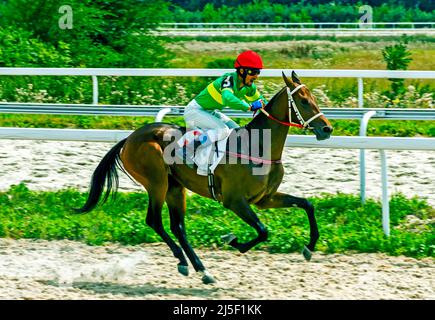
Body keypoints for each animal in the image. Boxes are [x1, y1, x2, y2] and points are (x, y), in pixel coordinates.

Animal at [77, 70, 334, 284]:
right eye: (303, 101)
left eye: (314, 98)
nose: (327, 129)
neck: (258, 146)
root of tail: (129, 138)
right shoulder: (234, 200)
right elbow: (263, 230)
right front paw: (233, 240)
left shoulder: (265, 199)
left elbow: (307, 204)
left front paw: (309, 247)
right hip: (157, 182)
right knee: (155, 220)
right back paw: (186, 261)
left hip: (175, 187)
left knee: (178, 226)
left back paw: (200, 269)